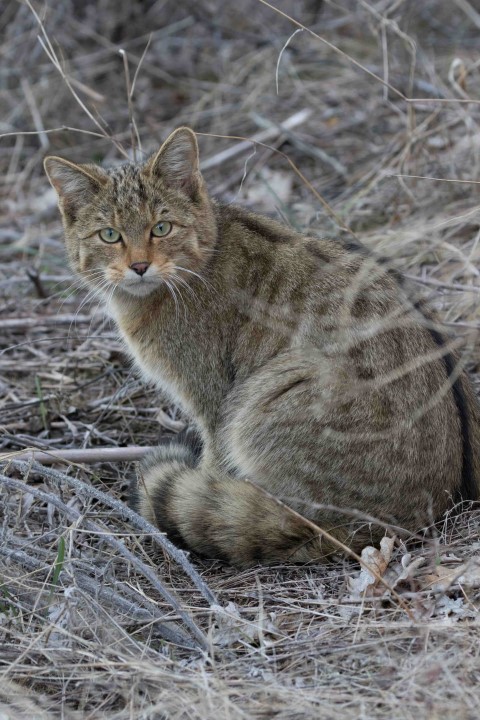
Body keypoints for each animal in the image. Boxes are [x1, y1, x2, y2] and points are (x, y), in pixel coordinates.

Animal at [43, 128, 478, 568]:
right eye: (110, 235)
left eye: (161, 228)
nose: (138, 266)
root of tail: (424, 513)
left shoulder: (213, 399)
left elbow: (214, 463)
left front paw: (204, 484)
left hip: (262, 402)